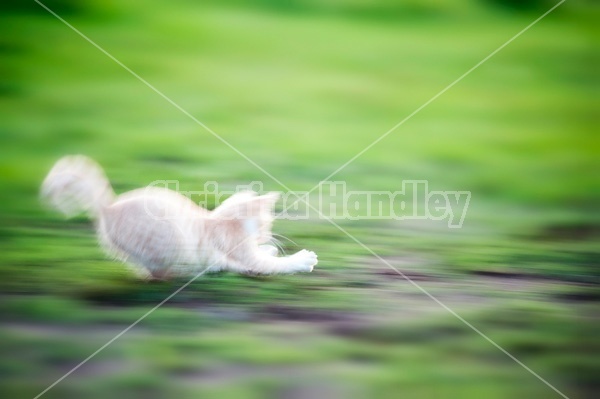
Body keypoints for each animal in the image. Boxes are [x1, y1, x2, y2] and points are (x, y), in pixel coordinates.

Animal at [39, 155, 316, 280]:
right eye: (267, 224)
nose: (267, 234)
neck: (221, 221)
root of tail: (108, 207)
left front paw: (270, 248)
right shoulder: (244, 253)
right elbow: (272, 265)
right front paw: (303, 259)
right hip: (171, 241)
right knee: (162, 272)